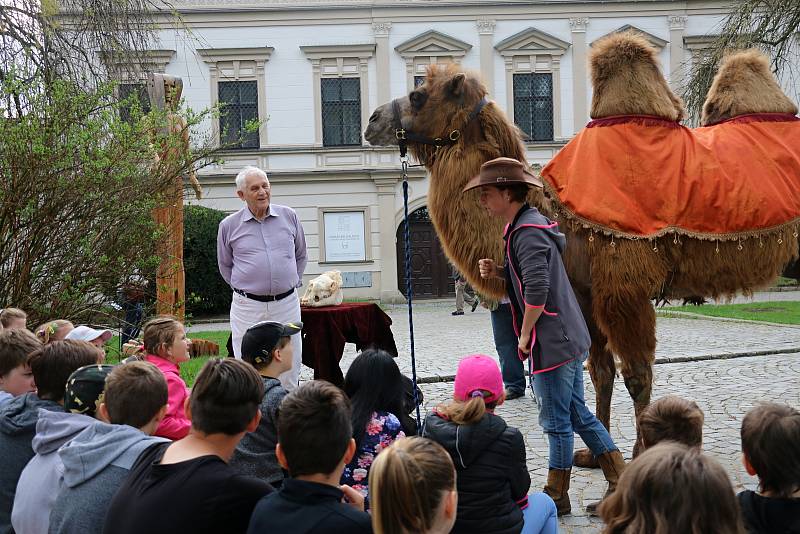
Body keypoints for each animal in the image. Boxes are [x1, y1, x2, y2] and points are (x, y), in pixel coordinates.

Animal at [368, 33, 800, 460]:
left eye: (419, 94)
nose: (372, 121)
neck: (558, 217)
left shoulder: (623, 288)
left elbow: (637, 374)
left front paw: (641, 454)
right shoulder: (586, 294)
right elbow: (599, 370)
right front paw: (594, 454)